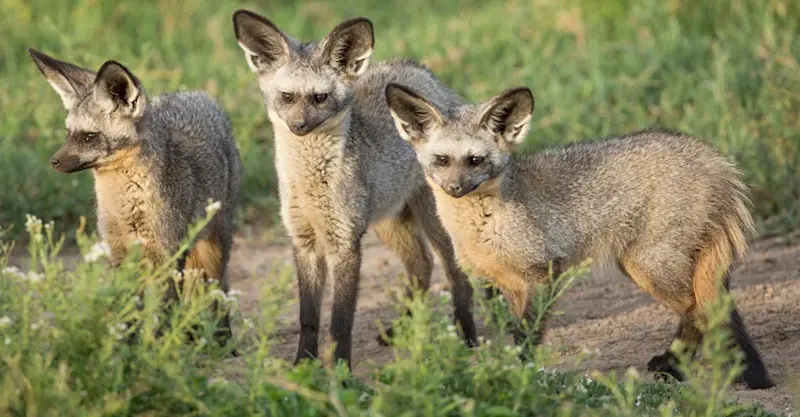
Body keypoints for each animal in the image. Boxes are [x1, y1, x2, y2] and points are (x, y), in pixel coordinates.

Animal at [29, 49, 243, 345]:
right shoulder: (119, 254)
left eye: (89, 137)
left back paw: (221, 341)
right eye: (69, 134)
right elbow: (127, 310)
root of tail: (198, 95)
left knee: (217, 290)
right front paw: (125, 346)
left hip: (213, 247)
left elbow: (165, 310)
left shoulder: (166, 255)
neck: (128, 208)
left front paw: (160, 348)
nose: (54, 162)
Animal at [232, 10, 478, 367]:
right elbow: (309, 318)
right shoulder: (303, 241)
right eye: (287, 97)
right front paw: (303, 364)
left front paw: (341, 370)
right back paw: (403, 328)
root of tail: (418, 69)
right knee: (421, 264)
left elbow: (340, 321)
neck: (310, 187)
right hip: (388, 221)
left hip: (432, 223)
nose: (299, 126)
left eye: (319, 97)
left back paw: (466, 333)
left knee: (455, 273)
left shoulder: (345, 243)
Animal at [384, 83, 774, 389]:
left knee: (701, 310)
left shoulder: (542, 274)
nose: (455, 188)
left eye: (475, 160)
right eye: (442, 160)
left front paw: (520, 376)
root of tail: (716, 159)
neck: (483, 226)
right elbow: (516, 333)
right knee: (709, 311)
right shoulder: (508, 282)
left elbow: (526, 336)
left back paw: (672, 365)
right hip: (644, 267)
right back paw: (676, 365)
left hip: (648, 266)